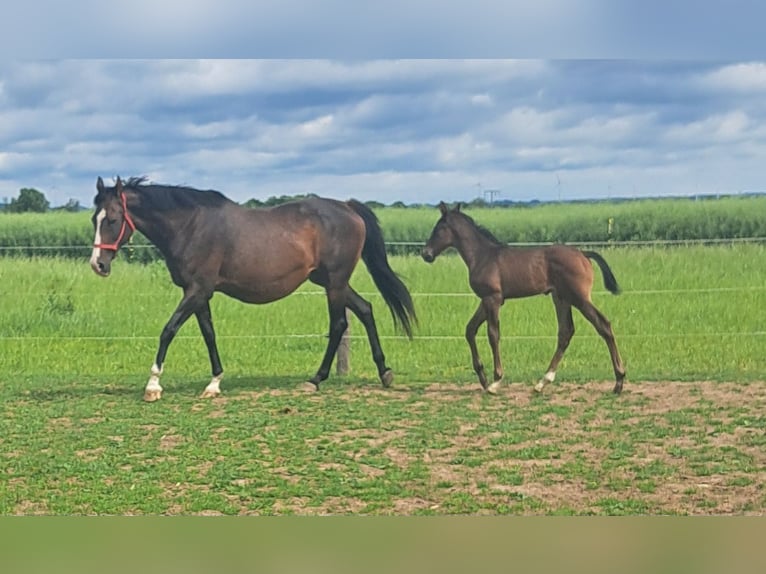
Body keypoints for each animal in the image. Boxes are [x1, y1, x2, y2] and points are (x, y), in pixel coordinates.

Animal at [90, 176, 416, 401]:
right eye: (95, 218)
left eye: (113, 219)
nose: (98, 264)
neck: (189, 225)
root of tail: (348, 207)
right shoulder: (200, 293)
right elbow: (209, 334)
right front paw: (214, 383)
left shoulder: (197, 291)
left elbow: (168, 330)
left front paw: (153, 385)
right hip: (329, 281)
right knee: (365, 309)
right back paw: (384, 372)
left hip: (334, 283)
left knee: (339, 324)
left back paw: (315, 379)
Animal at [421, 202, 625, 395]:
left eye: (438, 228)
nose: (426, 254)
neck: (482, 256)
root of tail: (583, 254)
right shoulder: (487, 299)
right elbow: (470, 330)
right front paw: (483, 378)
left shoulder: (493, 299)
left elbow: (493, 334)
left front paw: (495, 381)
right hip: (561, 298)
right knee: (565, 332)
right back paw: (542, 382)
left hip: (579, 298)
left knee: (603, 325)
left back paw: (619, 381)